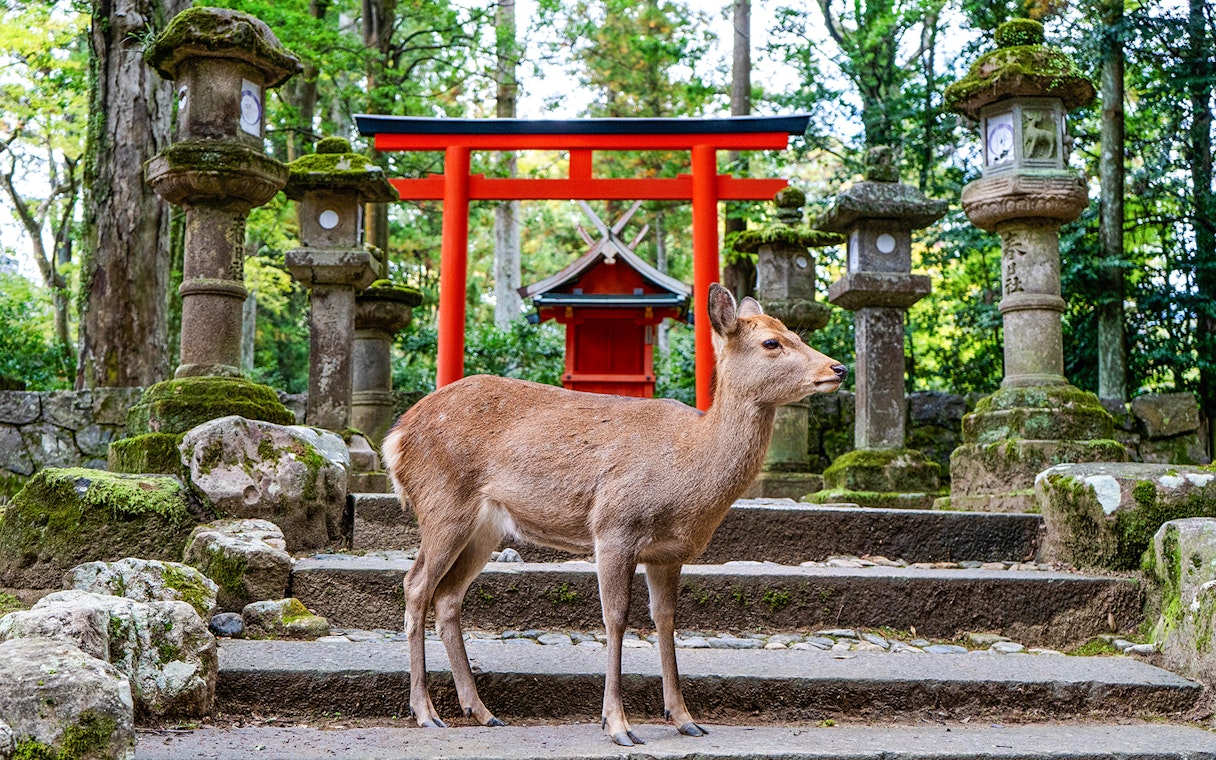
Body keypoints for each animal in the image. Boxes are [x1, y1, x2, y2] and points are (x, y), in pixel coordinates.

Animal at [382, 283, 846, 746]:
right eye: (772, 342)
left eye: (795, 333)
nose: (838, 368)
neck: (688, 473)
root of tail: (396, 437)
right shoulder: (614, 527)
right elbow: (616, 618)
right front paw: (618, 724)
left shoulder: (668, 553)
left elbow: (666, 620)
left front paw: (684, 718)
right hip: (443, 503)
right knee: (416, 585)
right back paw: (425, 711)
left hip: (485, 527)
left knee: (448, 596)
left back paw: (480, 711)